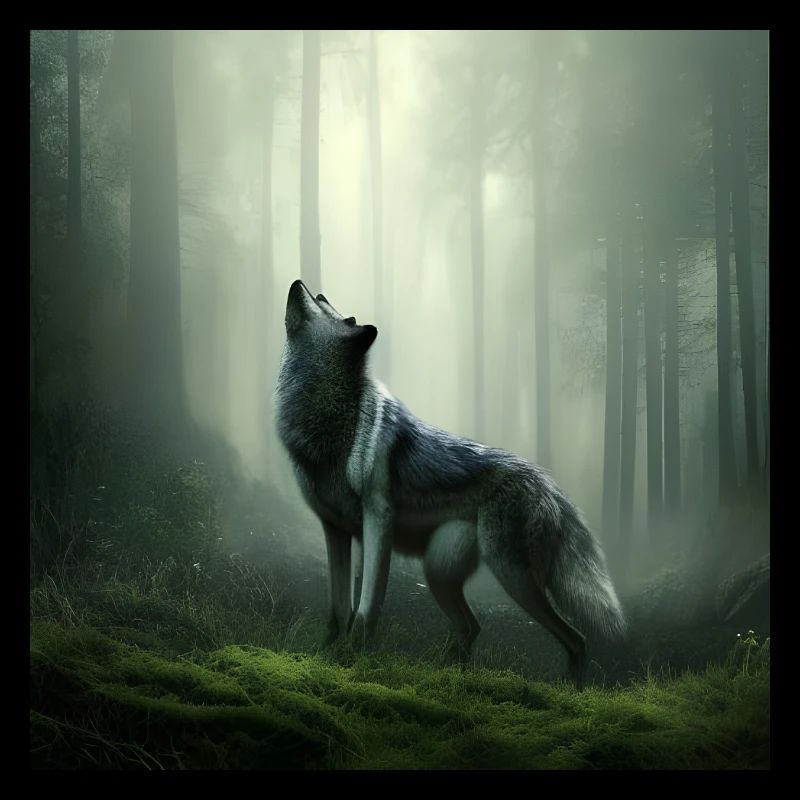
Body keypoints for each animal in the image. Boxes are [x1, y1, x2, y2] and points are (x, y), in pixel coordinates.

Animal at [275, 280, 626, 686]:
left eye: (330, 308)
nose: (301, 283)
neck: (328, 422)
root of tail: (548, 484)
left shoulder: (377, 520)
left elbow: (365, 610)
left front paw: (354, 660)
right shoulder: (334, 529)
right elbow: (337, 609)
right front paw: (326, 655)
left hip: (511, 575)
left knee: (576, 637)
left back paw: (571, 690)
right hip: (440, 573)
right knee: (472, 627)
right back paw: (446, 676)